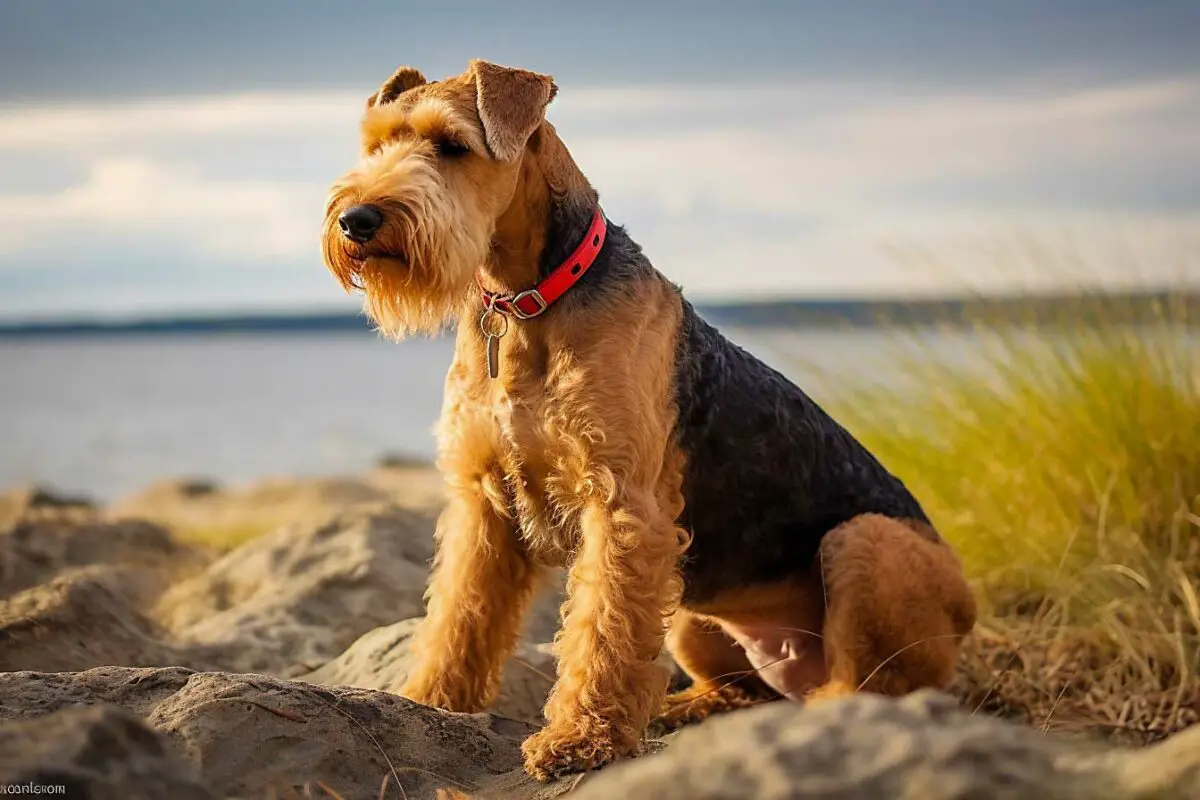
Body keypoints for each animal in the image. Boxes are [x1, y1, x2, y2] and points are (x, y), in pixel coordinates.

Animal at [319, 61, 974, 782]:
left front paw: (578, 738)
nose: (355, 219)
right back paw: (680, 708)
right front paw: (432, 698)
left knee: (868, 687)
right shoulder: (483, 502)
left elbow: (600, 632)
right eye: (377, 143)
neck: (527, 302)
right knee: (742, 690)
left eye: (451, 145)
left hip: (861, 542)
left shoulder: (624, 507)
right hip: (695, 613)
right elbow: (460, 615)